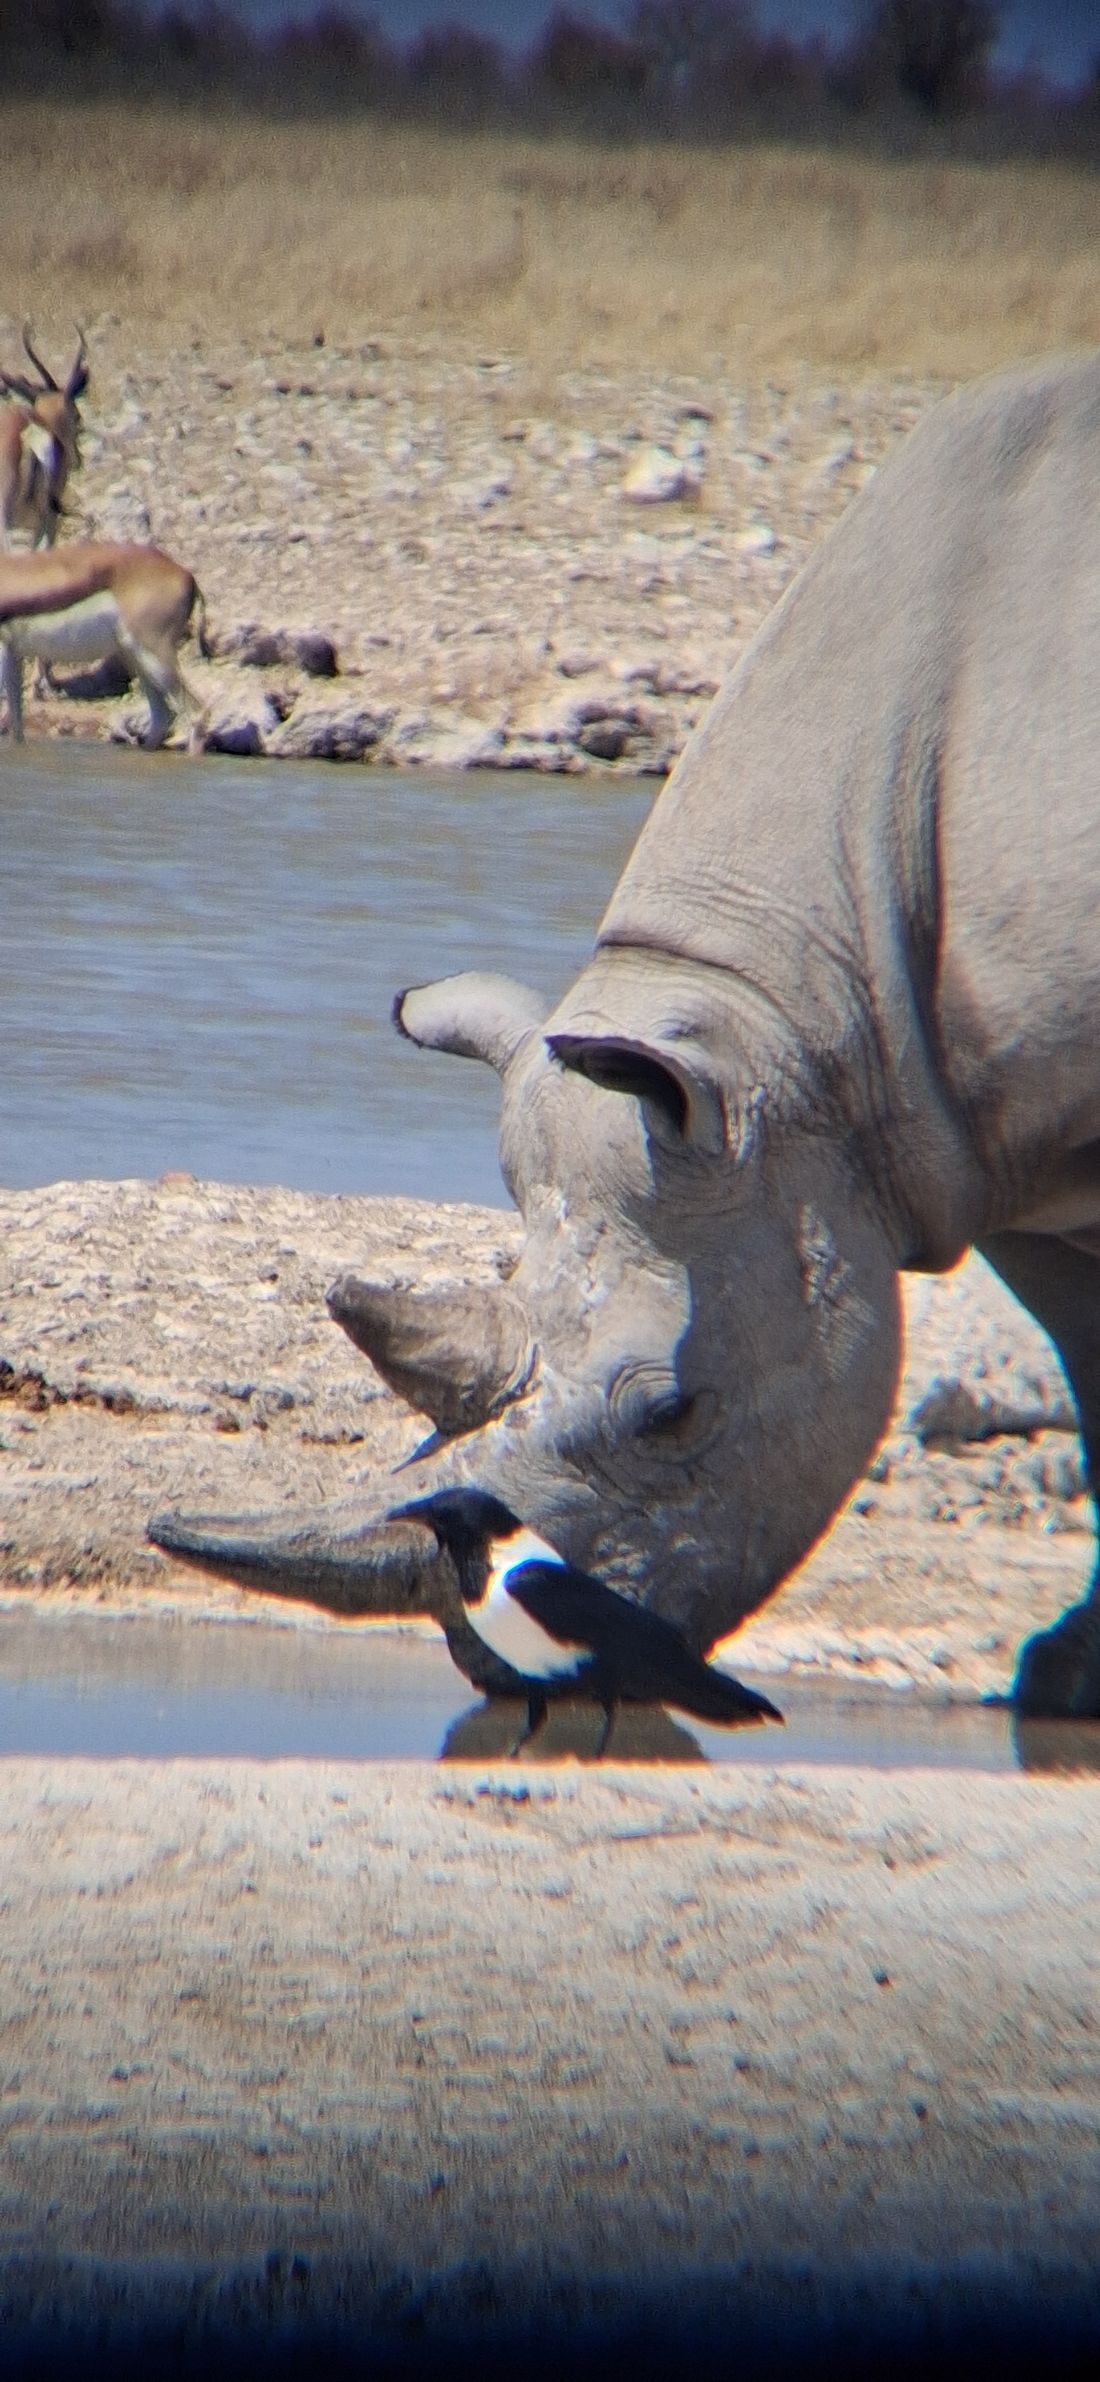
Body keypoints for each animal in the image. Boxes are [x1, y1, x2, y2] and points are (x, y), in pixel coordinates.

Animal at [151, 350, 1100, 1719]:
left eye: (668, 1415)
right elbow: (1089, 1359)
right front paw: (1068, 1674)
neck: (804, 1047)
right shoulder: (985, 1142)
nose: (496, 1655)